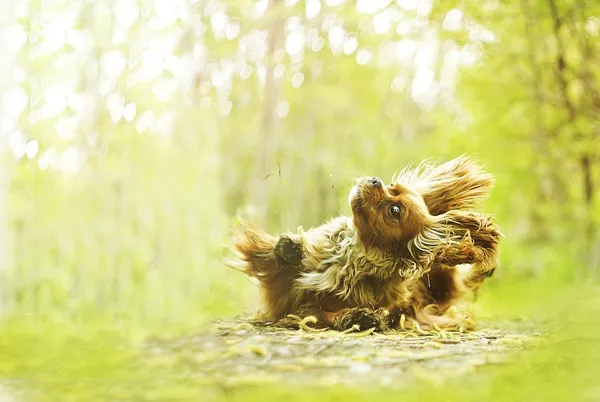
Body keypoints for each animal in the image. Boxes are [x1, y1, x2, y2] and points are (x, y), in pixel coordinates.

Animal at [230, 155, 502, 332]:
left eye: (395, 211)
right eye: (392, 187)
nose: (375, 180)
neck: (351, 255)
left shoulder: (291, 304)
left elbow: (318, 312)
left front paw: (356, 317)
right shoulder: (282, 287)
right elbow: (279, 262)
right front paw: (290, 248)